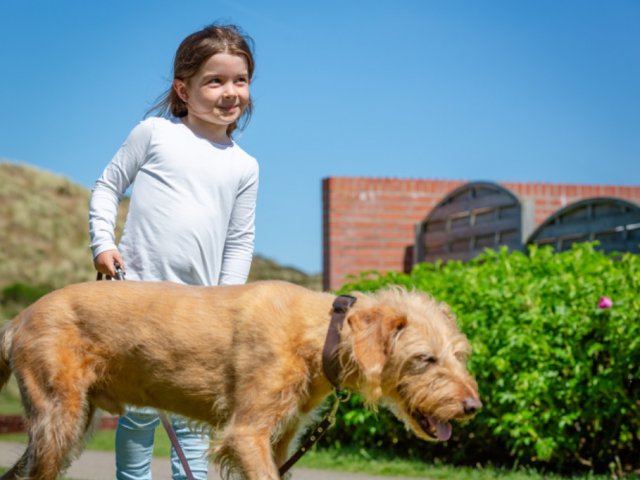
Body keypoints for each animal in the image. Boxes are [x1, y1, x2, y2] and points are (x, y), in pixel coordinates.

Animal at [0, 280, 481, 479]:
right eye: (425, 358)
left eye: (459, 355)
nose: (474, 407)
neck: (318, 333)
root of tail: (16, 319)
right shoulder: (247, 433)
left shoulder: (280, 441)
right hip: (58, 419)